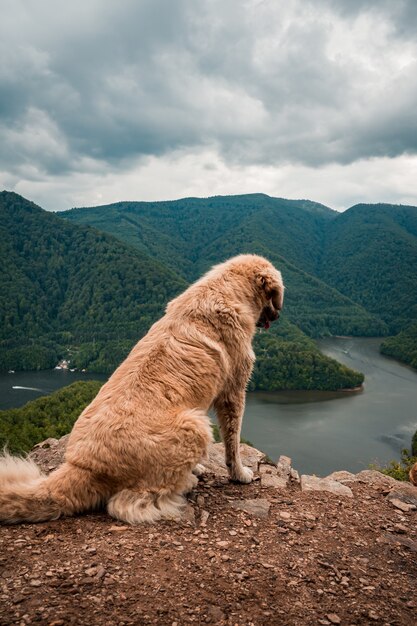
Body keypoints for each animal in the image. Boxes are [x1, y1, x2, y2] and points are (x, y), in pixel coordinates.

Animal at [0, 254, 282, 520]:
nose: (278, 315)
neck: (226, 289)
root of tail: (83, 466)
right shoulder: (233, 391)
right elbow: (233, 441)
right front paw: (239, 473)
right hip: (195, 425)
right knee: (130, 502)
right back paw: (187, 482)